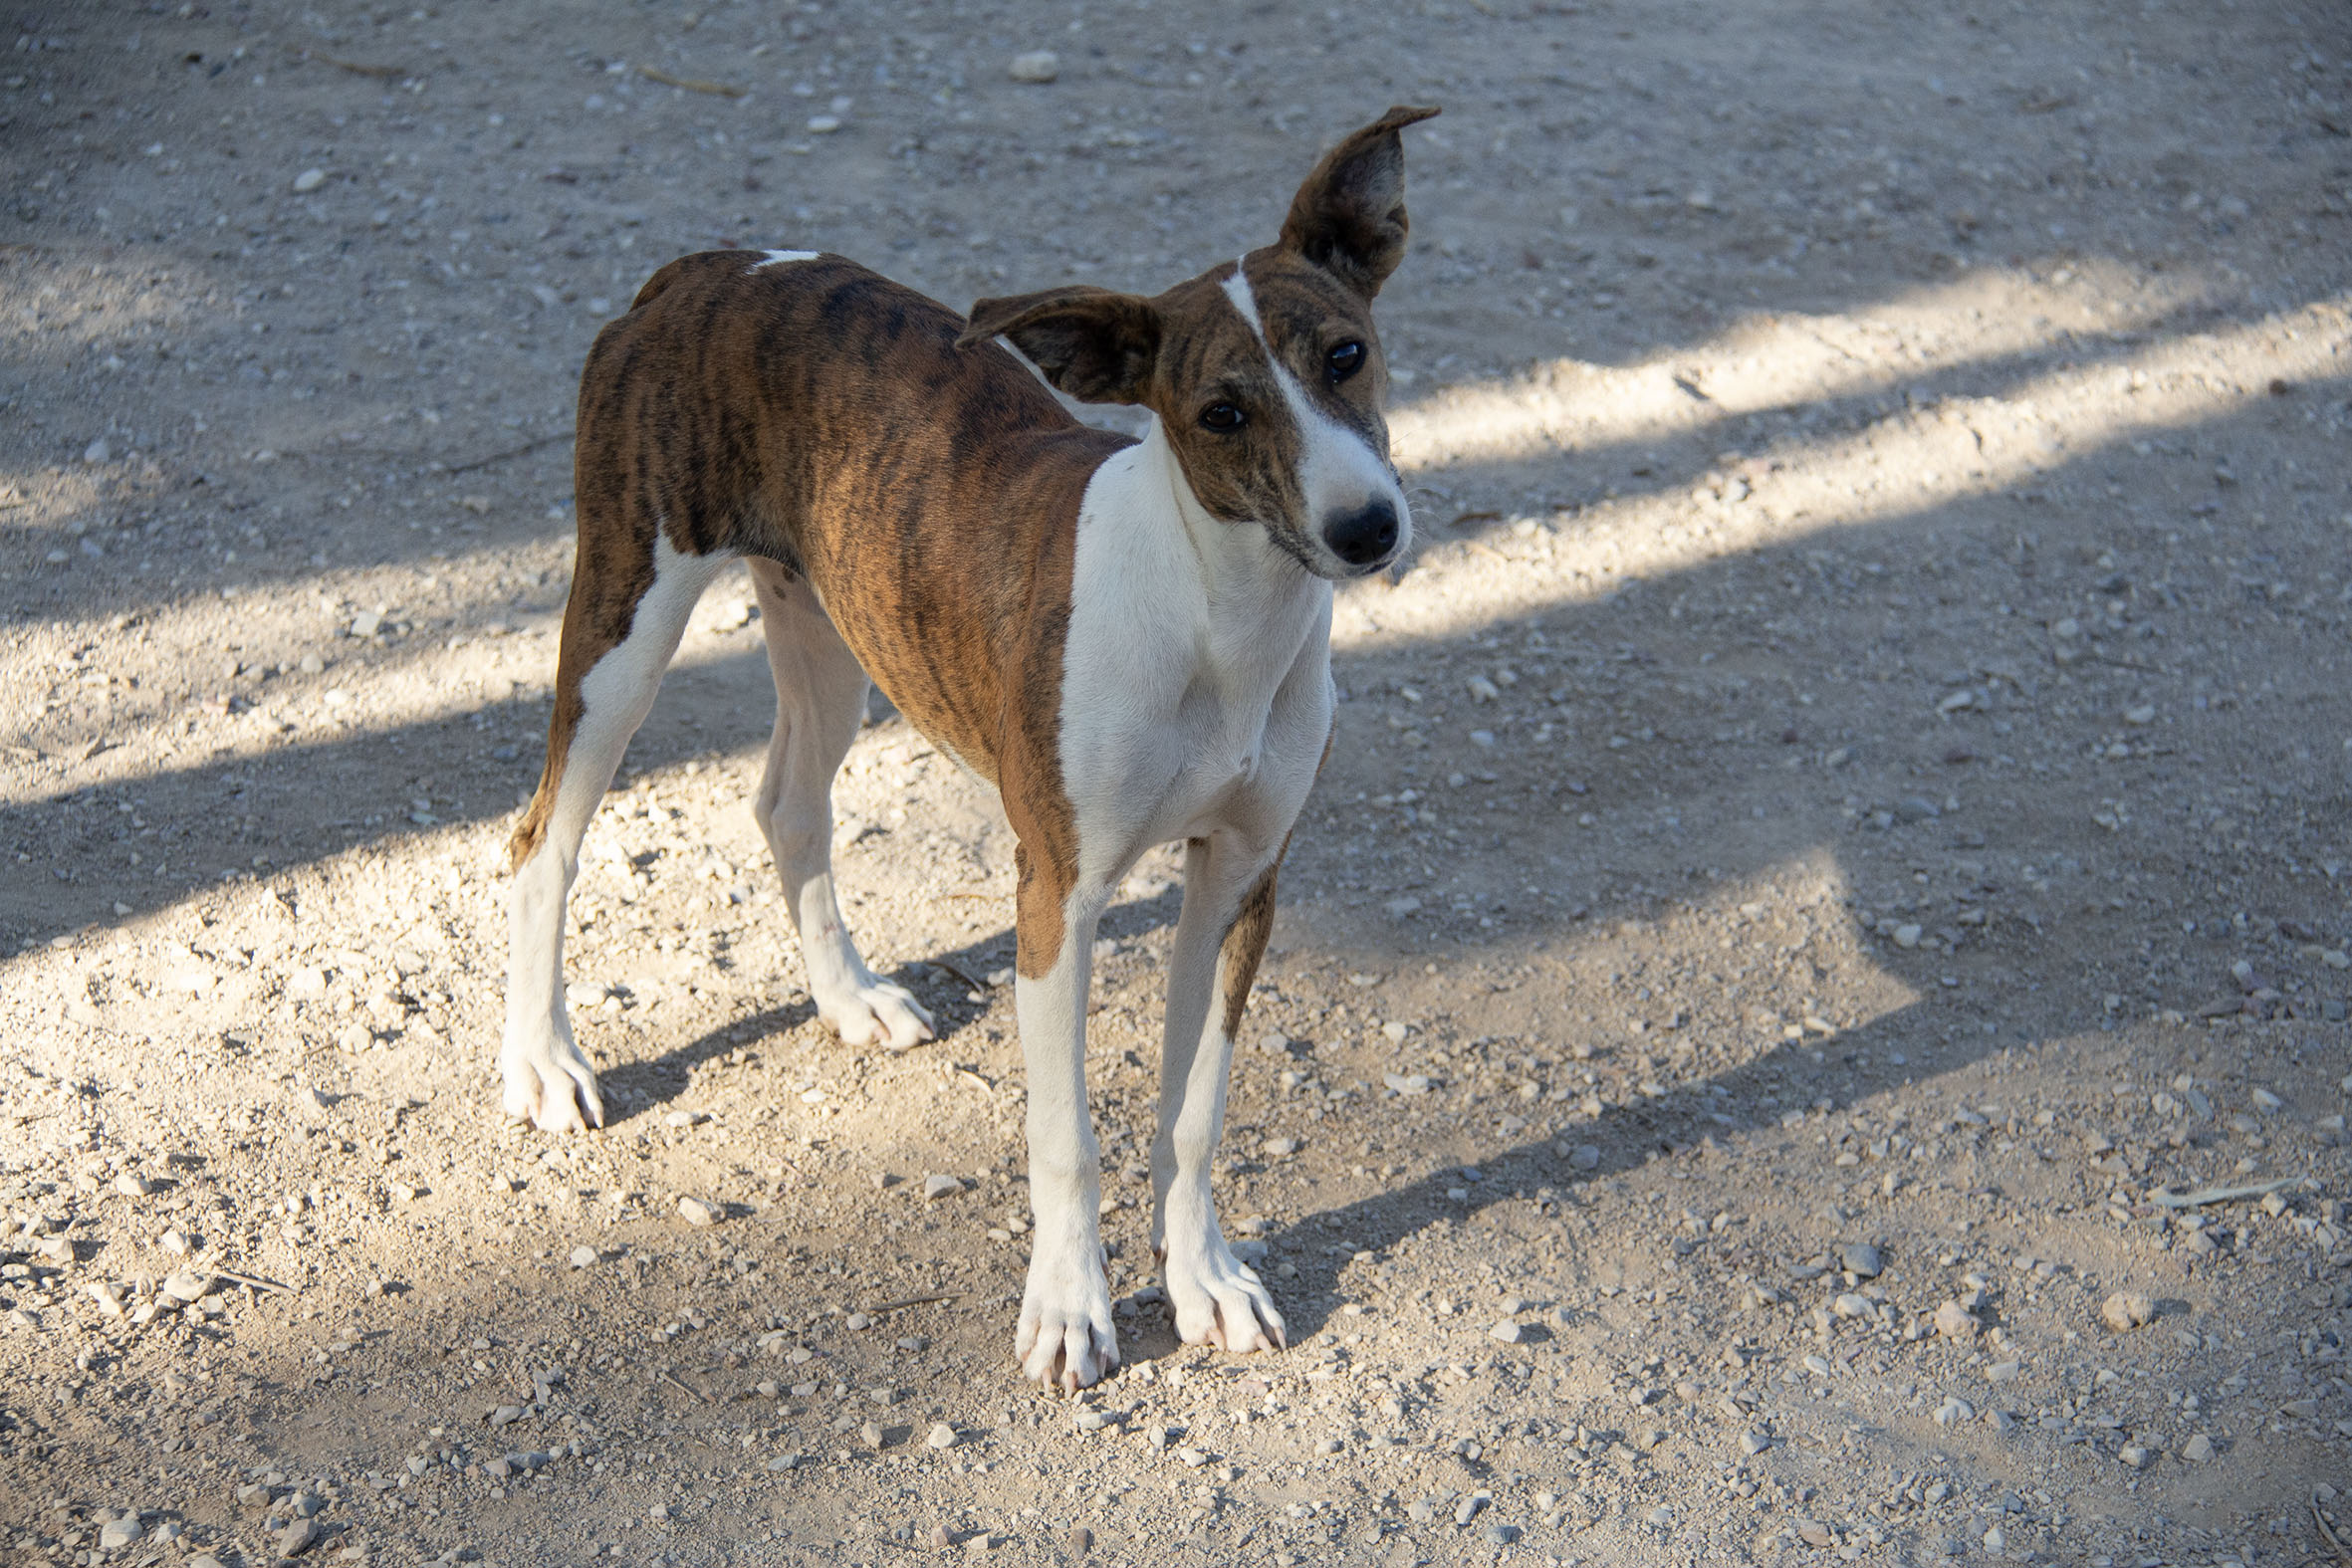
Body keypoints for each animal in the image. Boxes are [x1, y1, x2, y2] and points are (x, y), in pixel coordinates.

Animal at [500, 105, 1438, 1390]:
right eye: (1221, 415)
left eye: (1344, 355)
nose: (1365, 528)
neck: (1217, 621)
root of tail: (713, 265)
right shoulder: (1056, 896)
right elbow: (1065, 1139)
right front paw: (1069, 1311)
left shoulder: (1240, 881)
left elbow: (1193, 1112)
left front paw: (1204, 1280)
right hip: (623, 625)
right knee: (542, 840)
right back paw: (545, 1060)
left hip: (837, 624)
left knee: (786, 804)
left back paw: (850, 998)